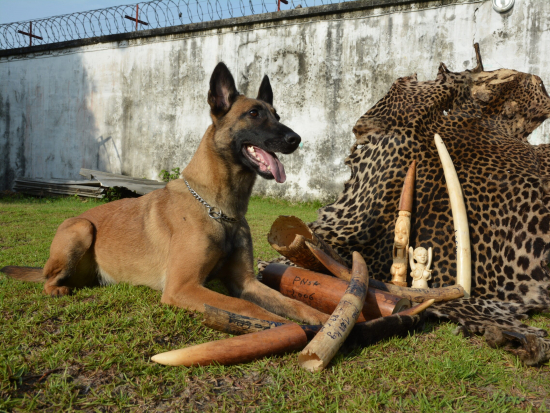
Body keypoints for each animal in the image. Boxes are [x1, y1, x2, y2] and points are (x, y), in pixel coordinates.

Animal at [1, 62, 332, 326]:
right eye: (253, 113)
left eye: (277, 115)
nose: (296, 139)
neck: (219, 208)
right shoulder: (183, 287)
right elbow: (246, 307)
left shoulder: (246, 281)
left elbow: (290, 302)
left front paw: (322, 318)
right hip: (81, 228)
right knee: (48, 279)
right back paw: (57, 287)